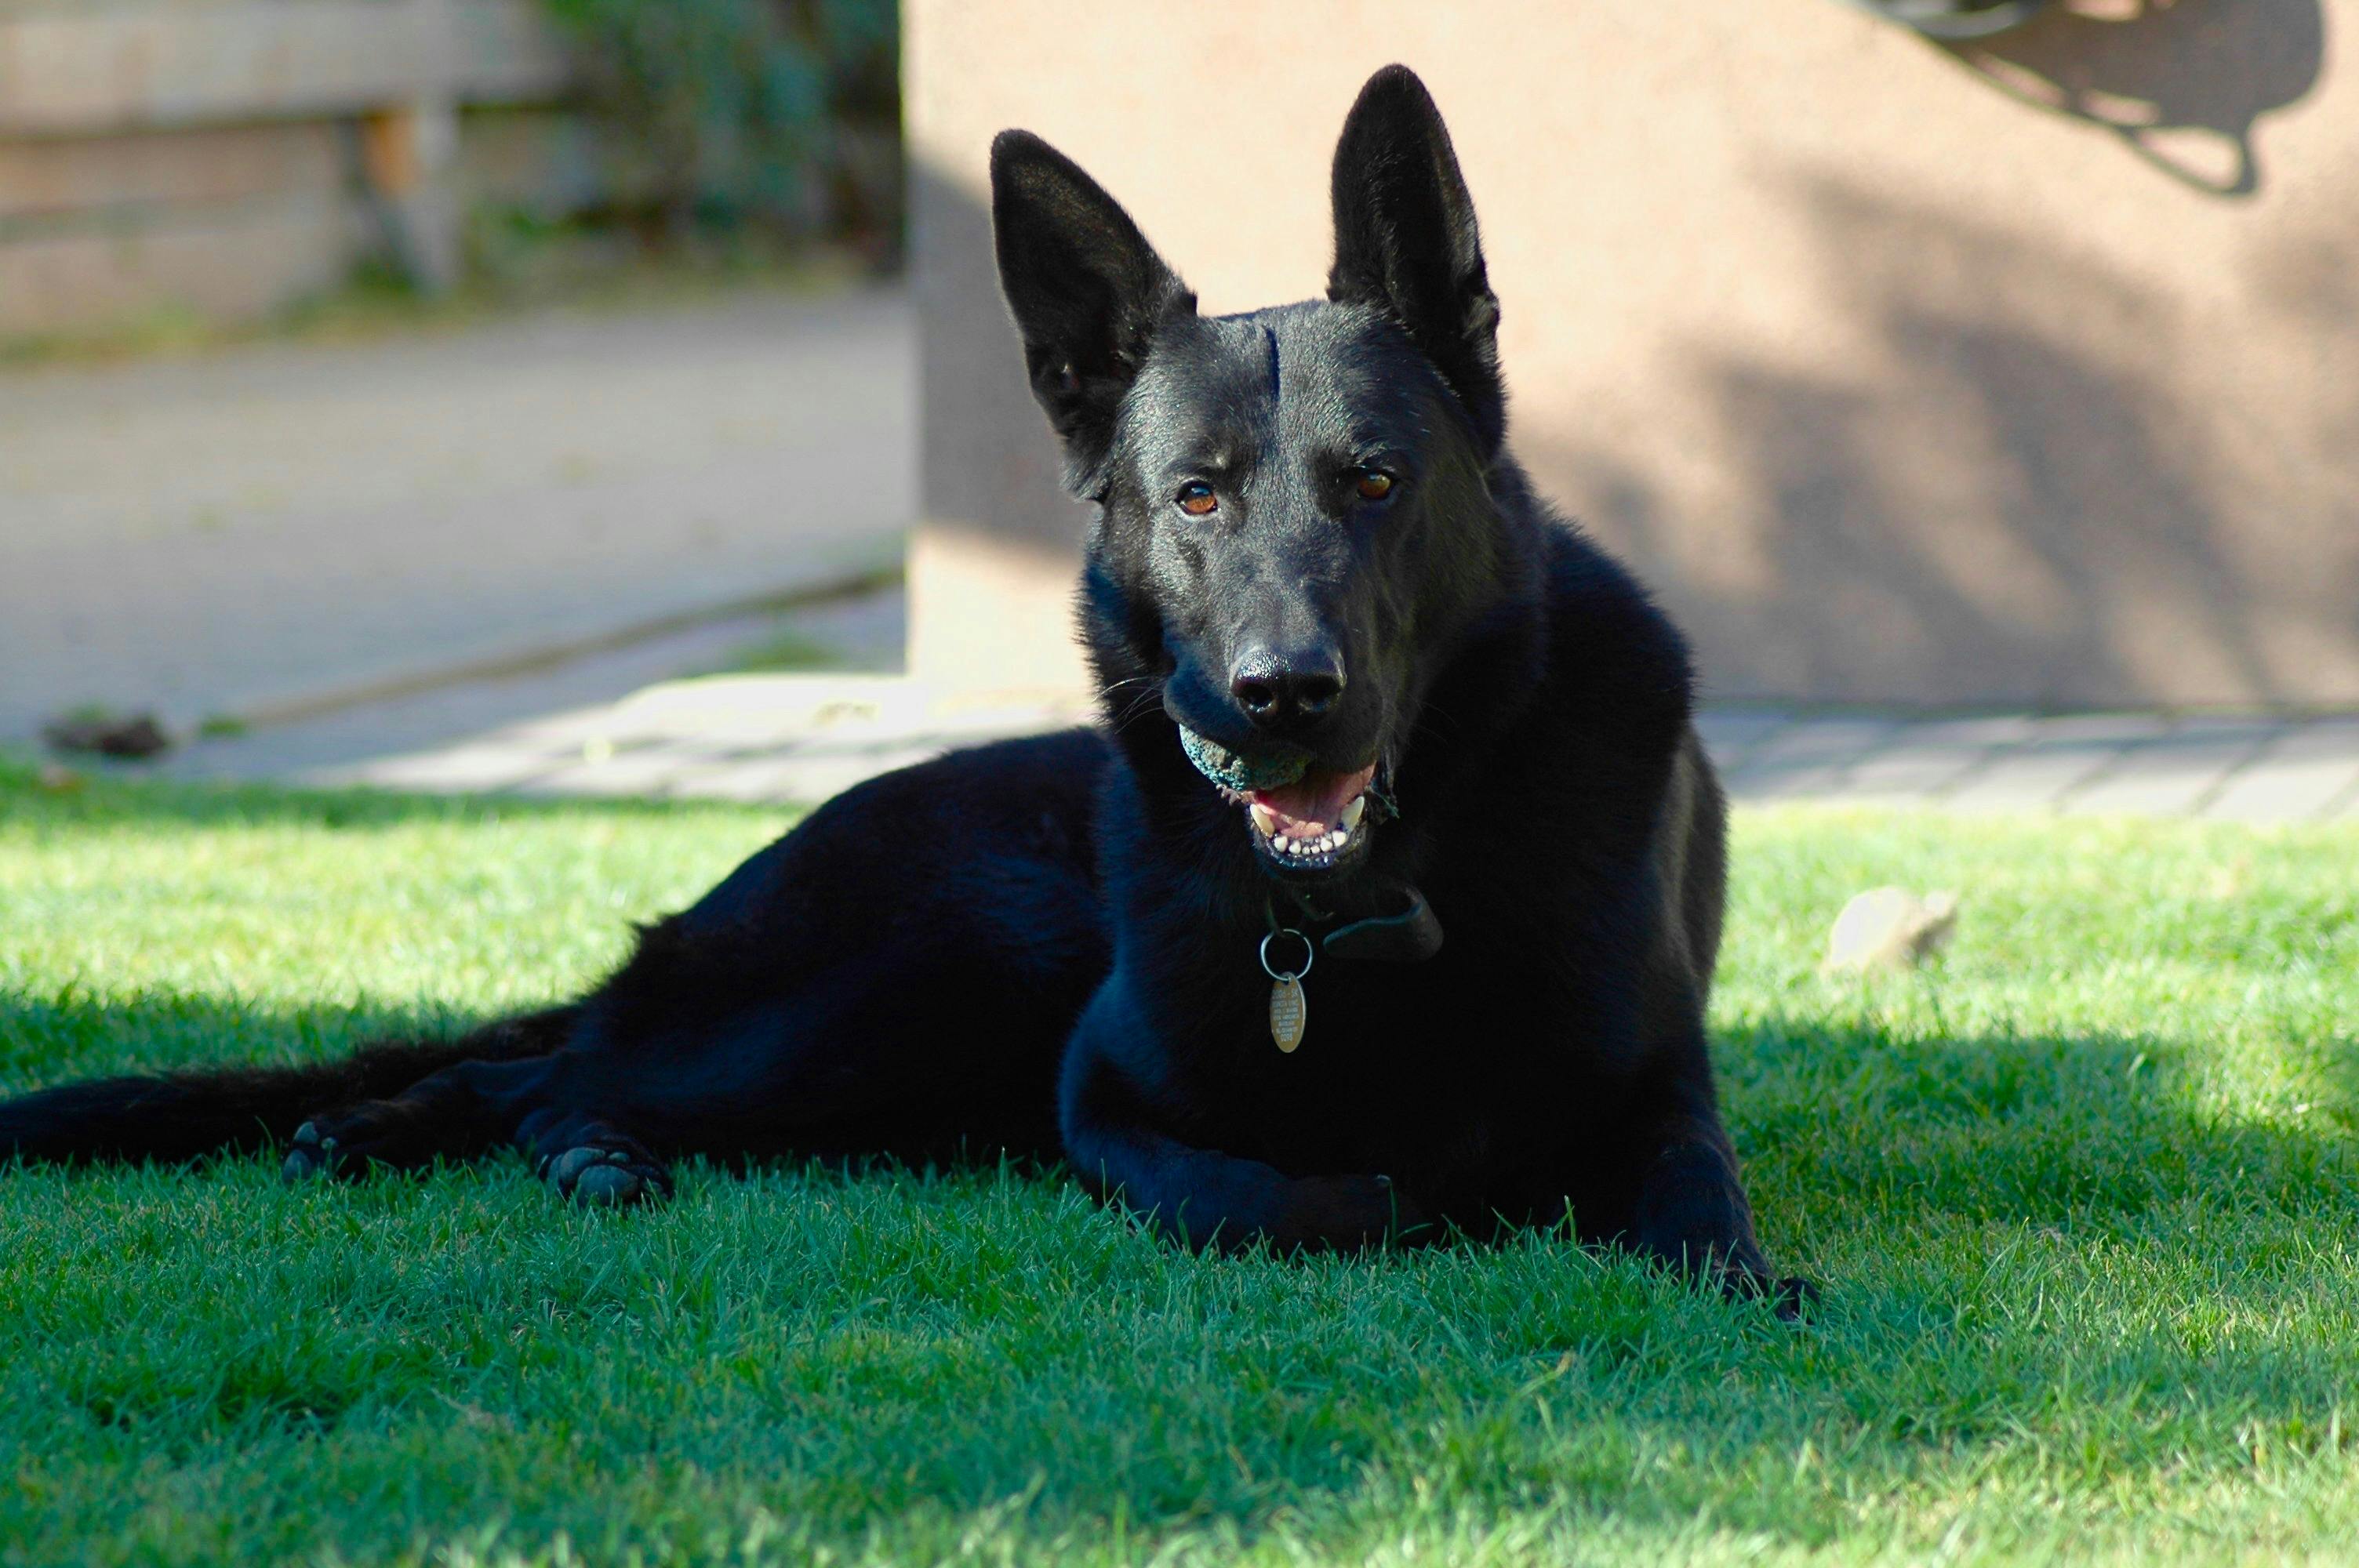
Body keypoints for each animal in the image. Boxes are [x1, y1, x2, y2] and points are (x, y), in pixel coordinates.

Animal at [0, 67, 1802, 1301]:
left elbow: (1691, 1208)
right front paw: (1408, 1186)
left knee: (561, 1080)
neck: (1360, 914)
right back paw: (455, 1133)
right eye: (1197, 497)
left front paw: (1736, 1274)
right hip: (926, 982)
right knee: (539, 1071)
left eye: (1373, 482)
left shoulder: (1660, 1088)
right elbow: (1305, 1195)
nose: (1279, 694)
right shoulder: (1098, 1090)